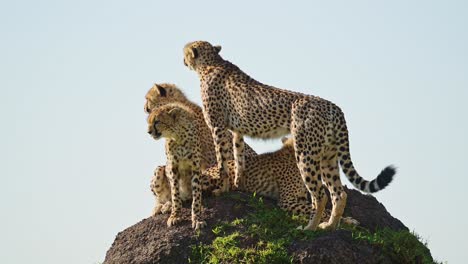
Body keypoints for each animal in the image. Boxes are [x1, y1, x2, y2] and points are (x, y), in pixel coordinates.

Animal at [146, 102, 205, 230]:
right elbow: (175, 194)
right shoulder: (173, 167)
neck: (178, 135)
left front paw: (197, 218)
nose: (148, 132)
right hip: (159, 170)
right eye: (148, 121)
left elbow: (196, 195)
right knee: (161, 198)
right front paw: (175, 216)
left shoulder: (196, 167)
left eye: (157, 121)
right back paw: (162, 206)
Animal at [183, 40, 394, 230]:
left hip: (305, 152)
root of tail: (332, 106)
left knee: (320, 195)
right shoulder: (237, 131)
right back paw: (330, 226)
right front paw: (237, 182)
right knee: (338, 194)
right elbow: (237, 156)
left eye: (185, 51)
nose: (183, 59)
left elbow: (222, 160)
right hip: (328, 156)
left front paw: (223, 187)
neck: (212, 63)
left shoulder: (217, 127)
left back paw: (310, 228)